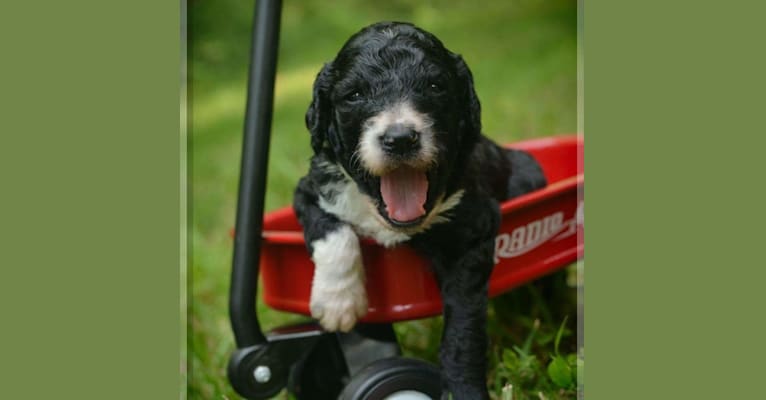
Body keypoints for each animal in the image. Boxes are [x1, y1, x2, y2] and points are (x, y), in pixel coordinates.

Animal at [292, 22, 548, 400]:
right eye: (354, 95)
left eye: (435, 86)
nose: (400, 138)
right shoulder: (310, 188)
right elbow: (330, 229)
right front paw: (338, 302)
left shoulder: (472, 234)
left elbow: (462, 333)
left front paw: (463, 390)